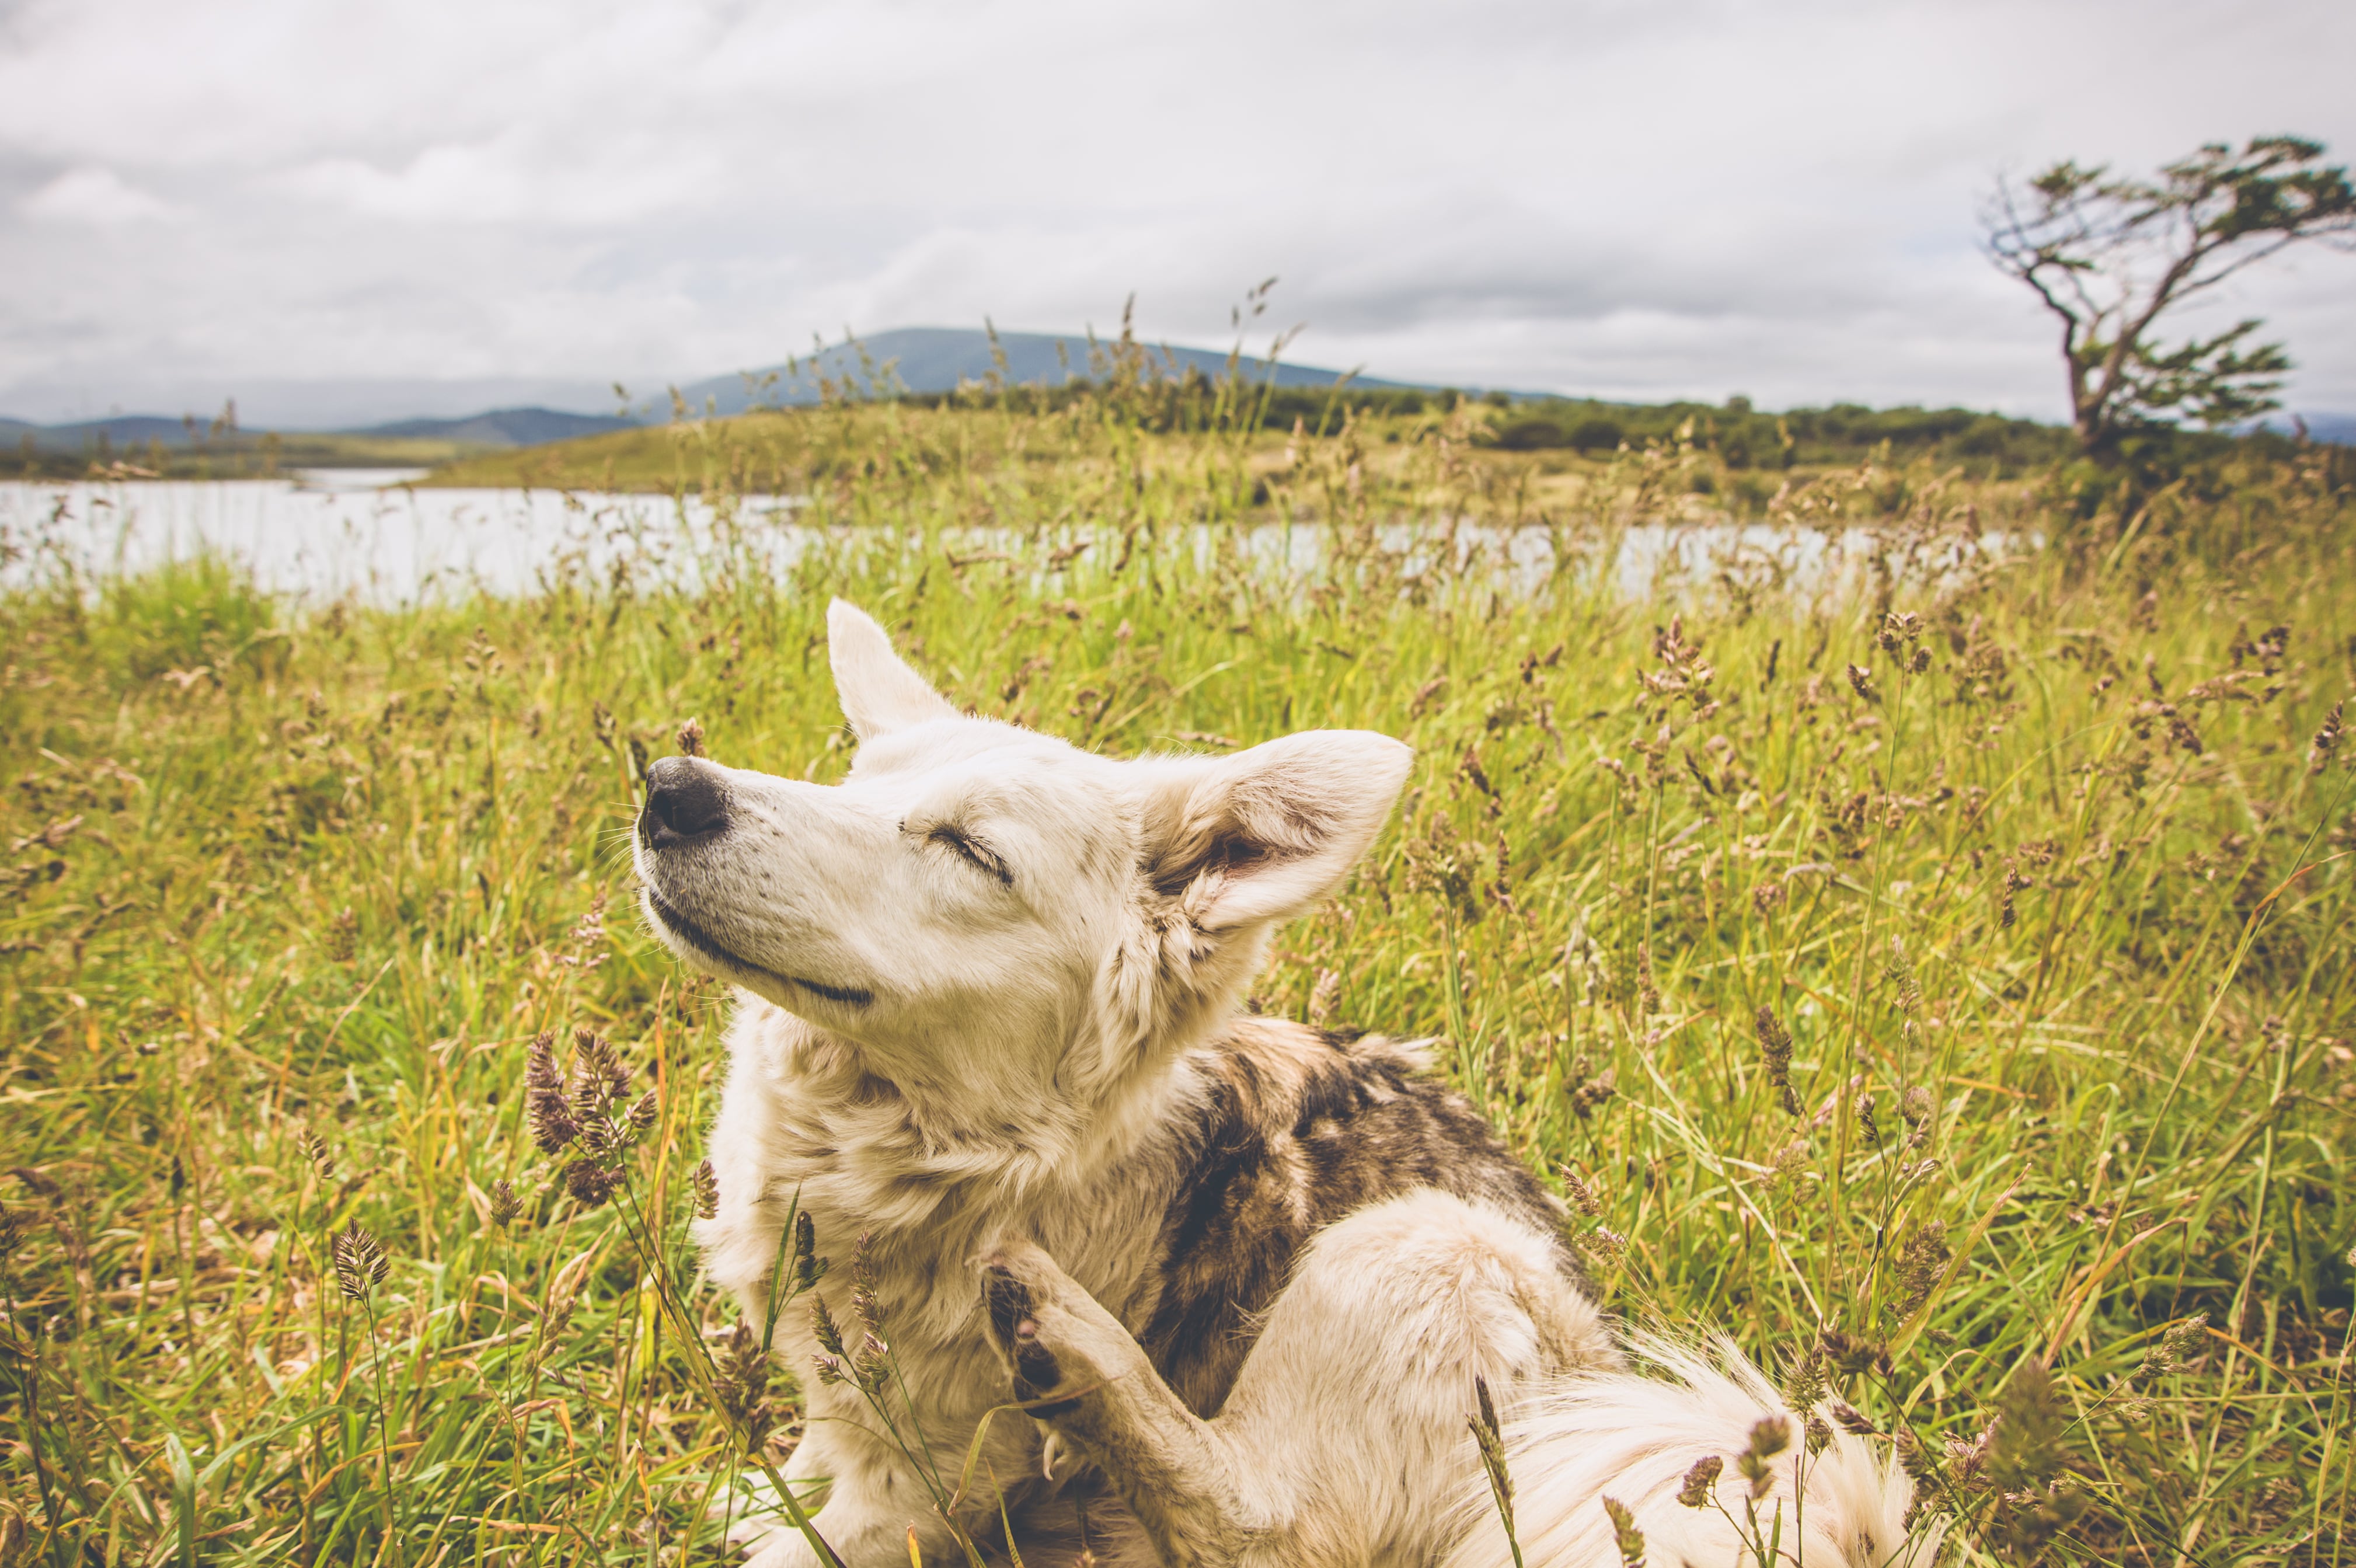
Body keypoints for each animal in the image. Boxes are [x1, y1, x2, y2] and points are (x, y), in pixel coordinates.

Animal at [636, 600, 1922, 1563]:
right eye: (849, 783)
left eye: (968, 849)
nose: (670, 788)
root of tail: (1601, 1380)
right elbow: (812, 1453)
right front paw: (767, 1489)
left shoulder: (928, 1479)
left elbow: (838, 1529)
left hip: (1417, 1243)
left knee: (1256, 1524)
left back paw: (1072, 1348)